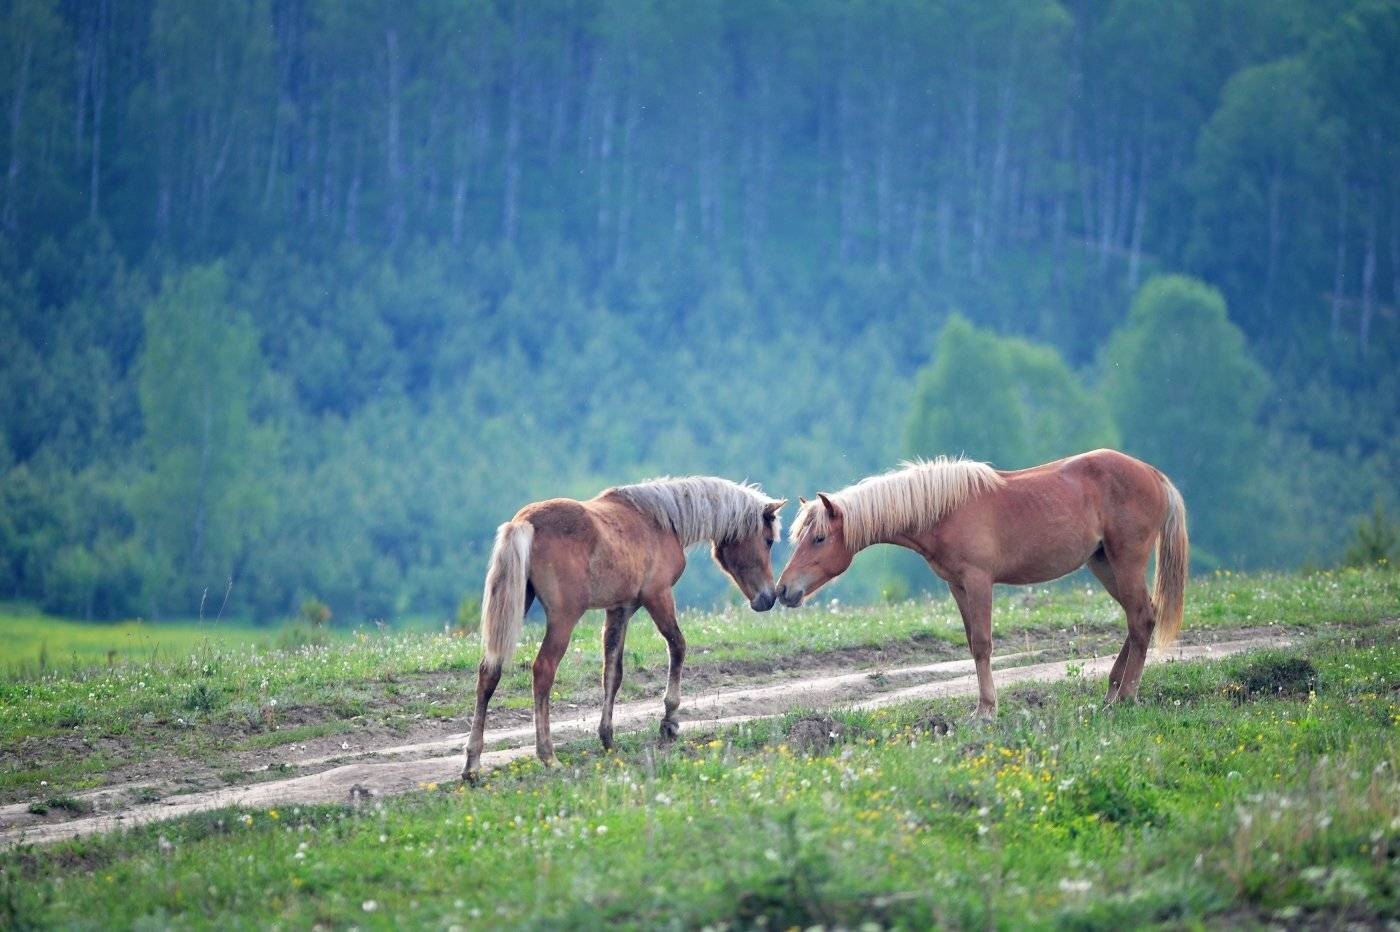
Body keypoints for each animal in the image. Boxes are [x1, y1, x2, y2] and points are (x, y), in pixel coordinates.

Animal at [463, 476, 787, 782]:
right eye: (768, 540)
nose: (768, 598)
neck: (661, 521)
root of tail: (523, 523)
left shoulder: (620, 609)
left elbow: (612, 673)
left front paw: (607, 737)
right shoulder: (658, 596)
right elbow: (678, 647)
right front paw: (669, 722)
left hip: (514, 606)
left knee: (489, 672)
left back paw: (472, 765)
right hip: (563, 618)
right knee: (543, 670)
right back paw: (548, 756)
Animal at [776, 449, 1187, 714]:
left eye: (818, 538)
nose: (783, 590)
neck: (944, 511)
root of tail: (1153, 474)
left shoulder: (978, 582)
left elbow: (983, 645)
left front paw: (986, 710)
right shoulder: (957, 586)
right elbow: (972, 642)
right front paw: (983, 707)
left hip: (1125, 561)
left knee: (1141, 618)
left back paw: (1126, 696)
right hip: (1103, 564)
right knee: (1140, 618)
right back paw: (1113, 691)